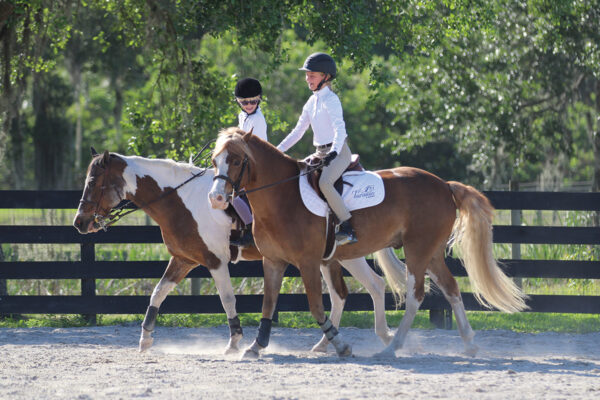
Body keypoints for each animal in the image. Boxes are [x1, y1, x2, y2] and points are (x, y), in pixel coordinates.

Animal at [72, 149, 394, 354]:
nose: (79, 223)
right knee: (358, 290)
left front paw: (235, 341)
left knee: (366, 288)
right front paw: (145, 339)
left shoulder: (214, 261)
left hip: (336, 257)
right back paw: (334, 343)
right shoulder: (183, 260)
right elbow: (157, 293)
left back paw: (375, 337)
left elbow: (227, 299)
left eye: (93, 182)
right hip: (334, 258)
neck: (181, 199)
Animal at [209, 129, 528, 360]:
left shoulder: (308, 262)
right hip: (432, 253)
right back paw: (468, 344)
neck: (282, 197)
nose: (216, 198)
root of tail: (444, 185)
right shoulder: (273, 262)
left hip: (417, 250)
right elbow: (268, 304)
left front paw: (341, 346)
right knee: (450, 289)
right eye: (214, 161)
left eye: (235, 160)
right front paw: (255, 346)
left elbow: (316, 306)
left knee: (415, 295)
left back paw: (392, 347)